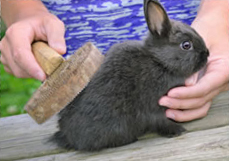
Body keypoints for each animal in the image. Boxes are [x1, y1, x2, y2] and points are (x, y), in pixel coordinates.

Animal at [50, 0, 209, 151]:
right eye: (186, 45)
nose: (207, 54)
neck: (160, 62)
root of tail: (67, 135)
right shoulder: (154, 105)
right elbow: (160, 120)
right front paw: (177, 130)